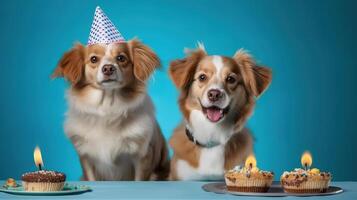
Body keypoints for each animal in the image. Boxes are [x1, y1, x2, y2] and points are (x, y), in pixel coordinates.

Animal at [52, 7, 170, 180]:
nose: (108, 68)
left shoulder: (142, 156)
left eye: (121, 58)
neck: (107, 106)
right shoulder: (86, 157)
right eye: (94, 59)